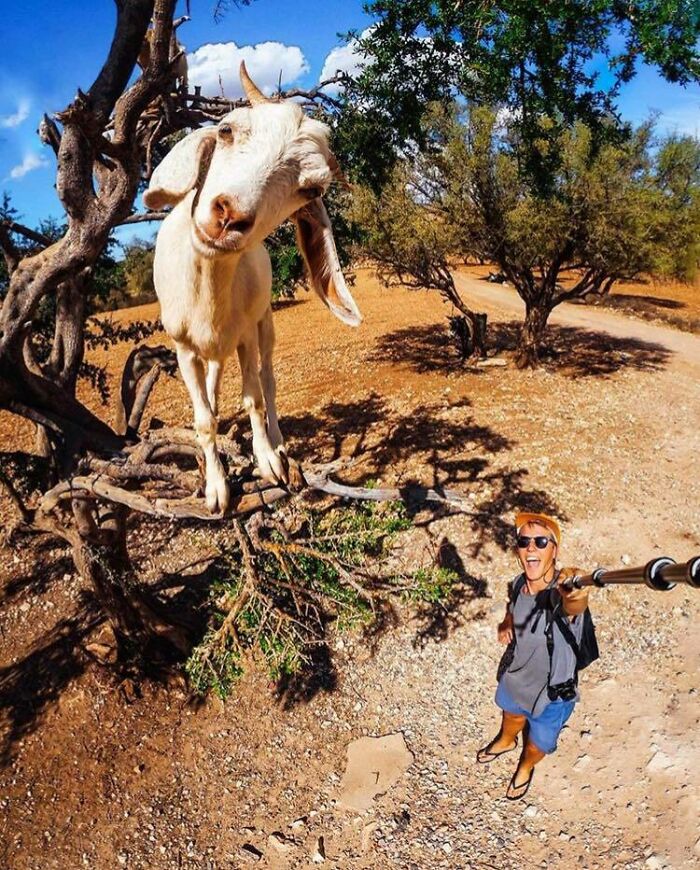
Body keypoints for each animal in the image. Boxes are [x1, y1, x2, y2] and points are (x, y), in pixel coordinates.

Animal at [143, 62, 362, 514]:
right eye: (226, 130)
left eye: (312, 189)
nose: (228, 216)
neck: (207, 291)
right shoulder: (182, 348)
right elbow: (204, 417)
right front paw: (215, 487)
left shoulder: (246, 334)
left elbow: (255, 397)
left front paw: (268, 460)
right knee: (215, 380)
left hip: (265, 324)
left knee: (268, 379)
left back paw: (277, 443)